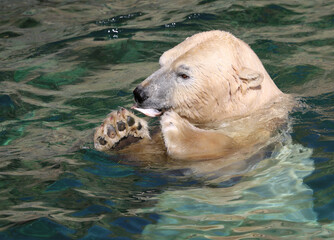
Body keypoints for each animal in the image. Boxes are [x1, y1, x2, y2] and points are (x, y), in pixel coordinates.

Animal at [93, 30, 292, 165]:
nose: (140, 93)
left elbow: (226, 148)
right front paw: (119, 128)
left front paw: (179, 129)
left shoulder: (257, 132)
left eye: (184, 74)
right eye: (161, 63)